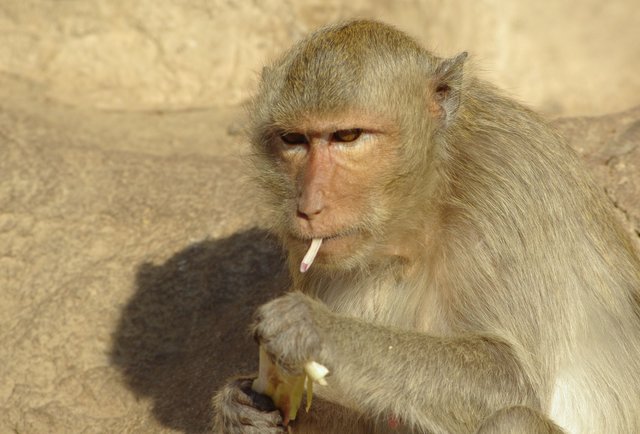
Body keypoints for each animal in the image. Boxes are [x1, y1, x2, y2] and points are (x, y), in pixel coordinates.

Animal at [213, 20, 640, 434]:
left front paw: (317, 329)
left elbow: (511, 377)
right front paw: (238, 409)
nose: (308, 207)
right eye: (293, 139)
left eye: (347, 136)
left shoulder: (509, 186)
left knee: (513, 418)